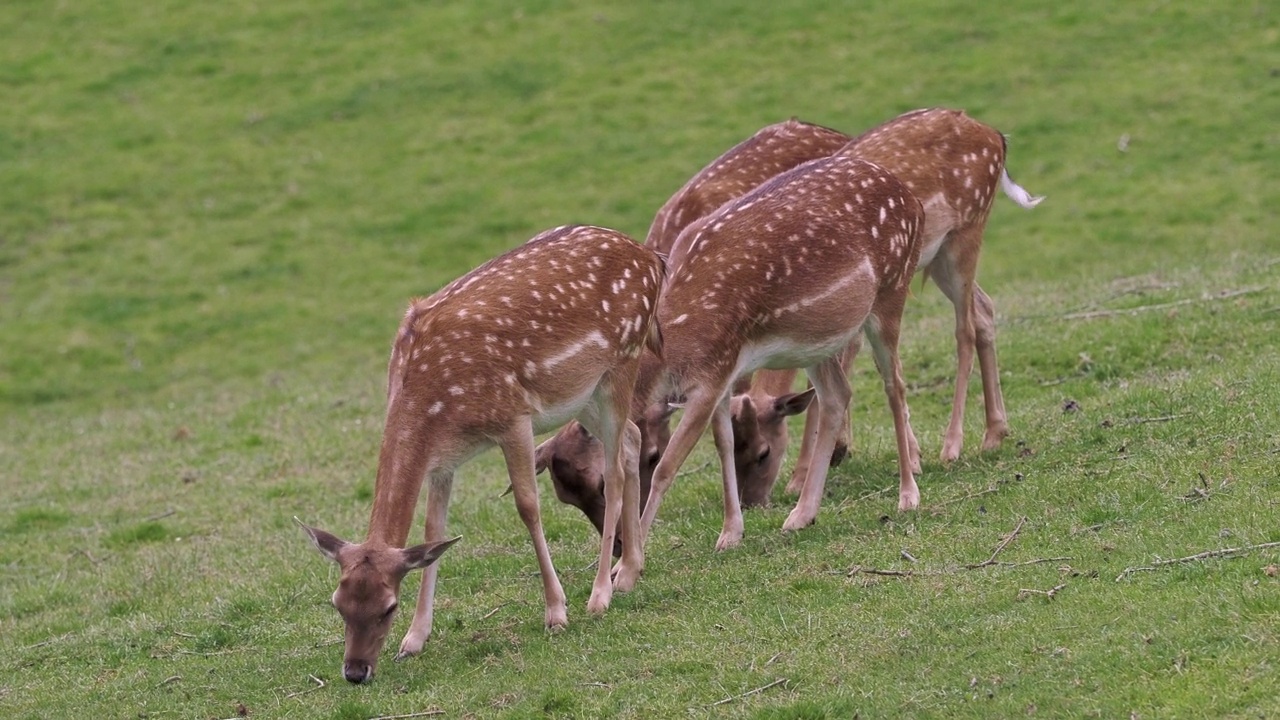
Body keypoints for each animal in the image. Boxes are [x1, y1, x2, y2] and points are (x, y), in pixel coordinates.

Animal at [294, 225, 665, 681]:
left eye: (388, 607)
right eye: (338, 604)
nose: (355, 671)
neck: (434, 403)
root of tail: (652, 259)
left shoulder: (513, 418)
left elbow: (528, 507)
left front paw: (556, 612)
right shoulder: (443, 459)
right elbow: (433, 531)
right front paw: (414, 640)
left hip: (623, 361)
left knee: (611, 472)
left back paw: (600, 595)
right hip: (584, 393)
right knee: (631, 439)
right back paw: (629, 571)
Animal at [634, 152, 926, 548]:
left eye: (764, 454)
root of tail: (914, 201)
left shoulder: (711, 373)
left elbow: (670, 465)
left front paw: (626, 560)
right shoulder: (724, 371)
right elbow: (723, 442)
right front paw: (730, 533)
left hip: (891, 291)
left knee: (894, 384)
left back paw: (908, 495)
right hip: (816, 340)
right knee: (837, 394)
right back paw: (802, 514)